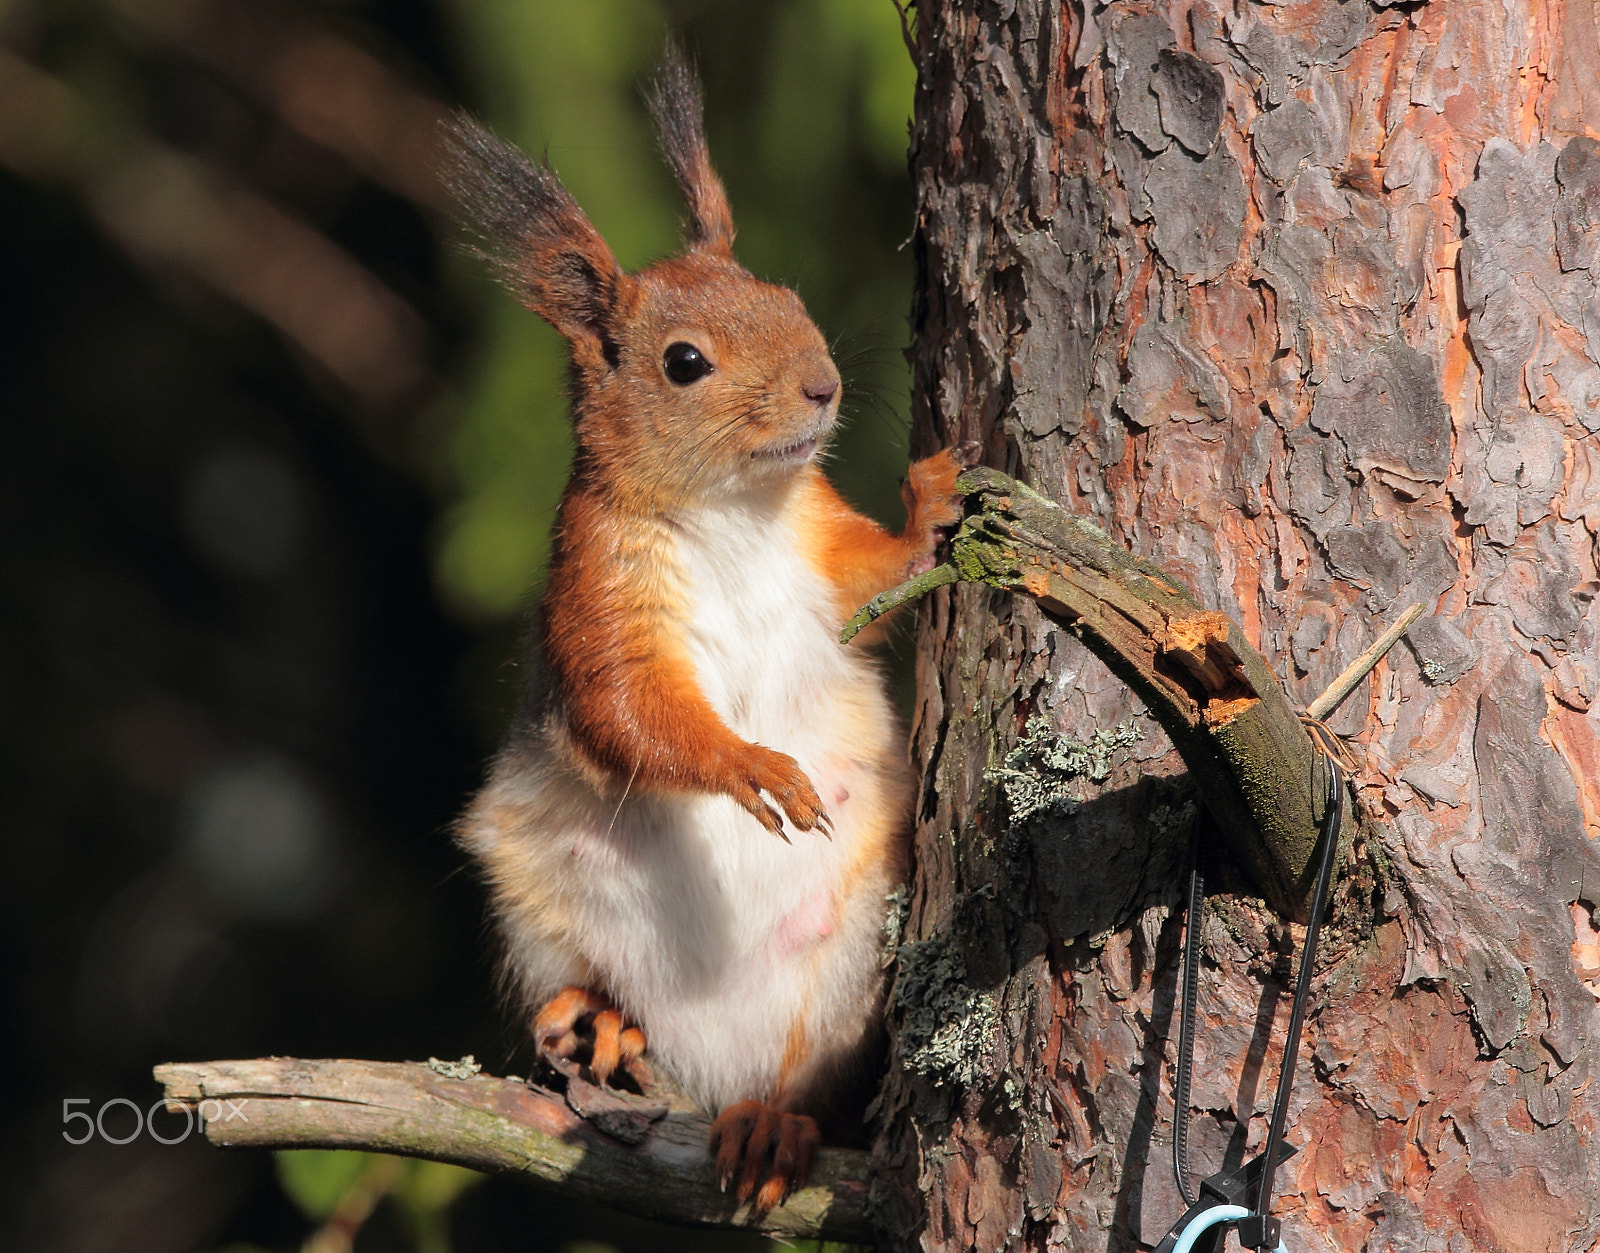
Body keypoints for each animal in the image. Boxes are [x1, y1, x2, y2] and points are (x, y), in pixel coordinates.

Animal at [445, 49, 974, 1212]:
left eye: (788, 297)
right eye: (683, 362)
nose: (823, 385)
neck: (733, 508)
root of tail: (707, 1059)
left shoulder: (822, 545)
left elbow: (885, 571)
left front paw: (936, 495)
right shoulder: (597, 586)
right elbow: (627, 708)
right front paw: (750, 765)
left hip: (840, 978)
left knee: (800, 1083)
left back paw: (769, 1127)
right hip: (537, 903)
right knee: (582, 984)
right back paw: (596, 1019)